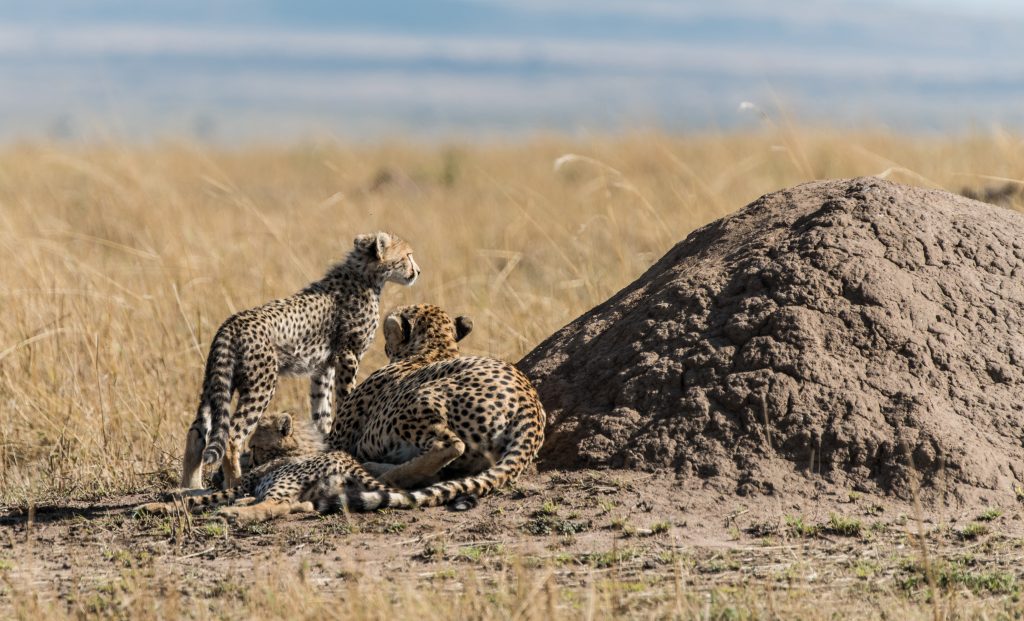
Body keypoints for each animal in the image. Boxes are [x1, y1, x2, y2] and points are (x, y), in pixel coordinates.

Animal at [179, 231, 420, 491]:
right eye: (407, 256)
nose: (417, 271)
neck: (364, 275)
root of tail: (231, 323)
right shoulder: (348, 356)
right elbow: (347, 397)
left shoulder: (323, 368)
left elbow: (322, 410)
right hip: (261, 385)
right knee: (232, 436)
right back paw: (234, 482)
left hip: (214, 383)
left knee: (197, 433)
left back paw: (190, 487)